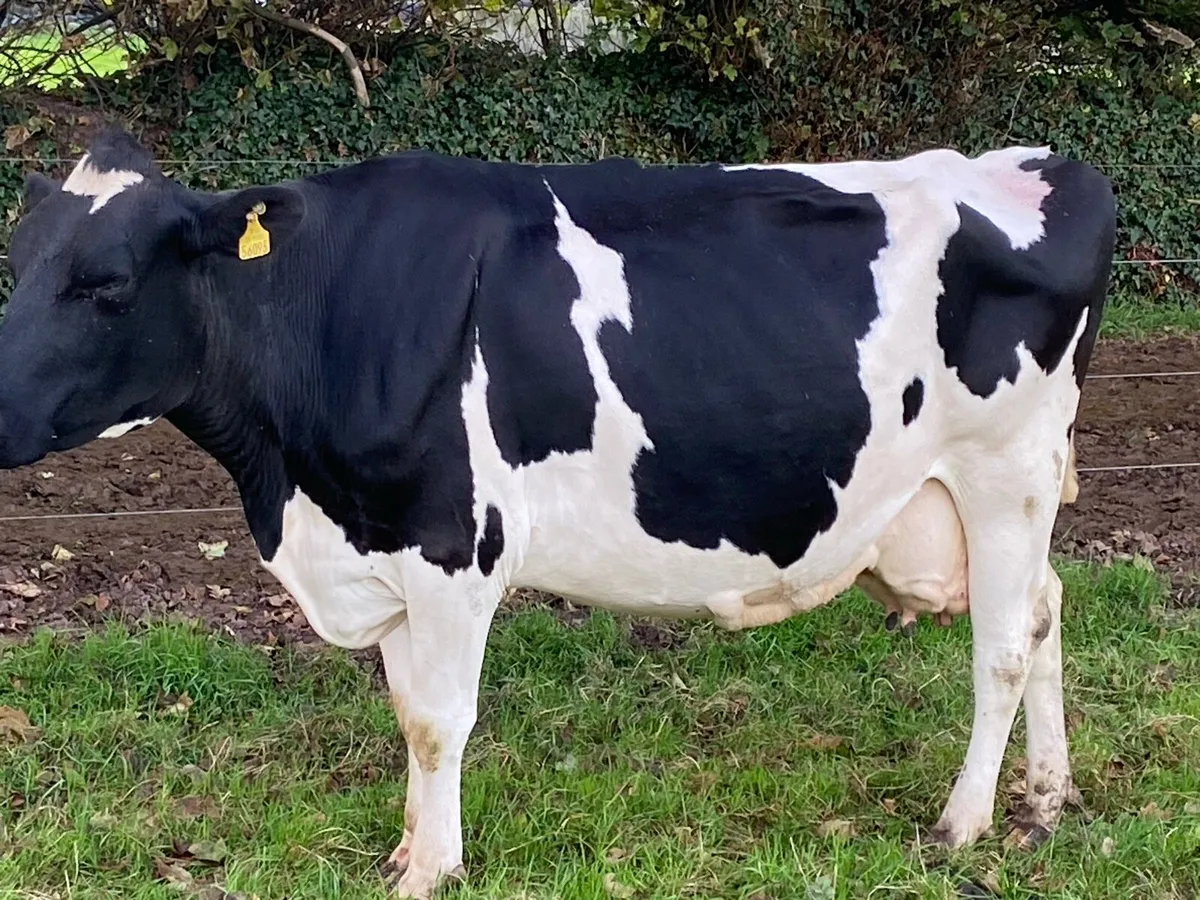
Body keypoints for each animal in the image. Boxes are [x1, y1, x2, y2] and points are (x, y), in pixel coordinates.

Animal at [0, 128, 1114, 898]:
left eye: (106, 283)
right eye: (17, 265)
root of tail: (1042, 163)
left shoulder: (452, 542)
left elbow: (440, 720)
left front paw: (431, 869)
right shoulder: (381, 544)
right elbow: (406, 711)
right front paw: (408, 846)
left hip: (1004, 470)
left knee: (1002, 644)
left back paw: (964, 825)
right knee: (1049, 609)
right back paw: (1046, 800)